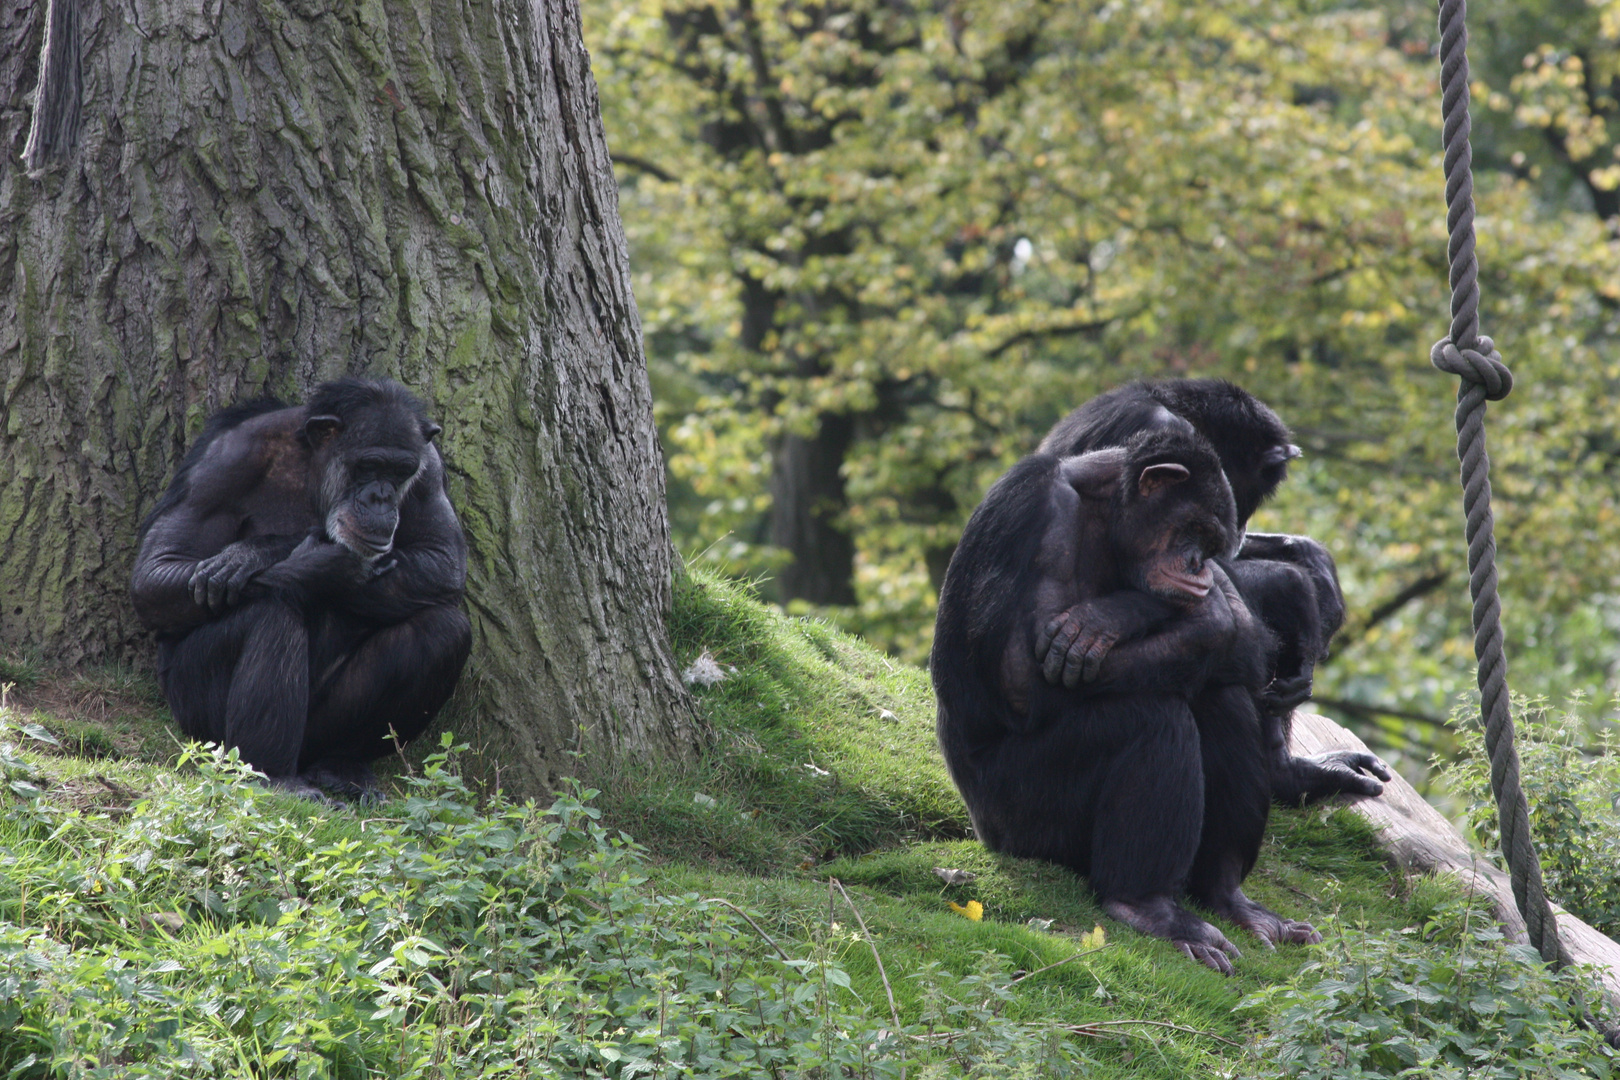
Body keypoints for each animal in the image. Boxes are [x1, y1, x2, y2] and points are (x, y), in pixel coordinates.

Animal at [132, 380, 469, 803]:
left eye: (399, 471)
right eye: (369, 465)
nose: (382, 496)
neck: (314, 470)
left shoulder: (428, 470)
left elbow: (443, 559)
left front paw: (266, 553)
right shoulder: (223, 463)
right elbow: (157, 569)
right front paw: (309, 564)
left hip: (320, 729)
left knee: (442, 629)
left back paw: (341, 764)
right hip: (196, 715)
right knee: (272, 612)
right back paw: (275, 774)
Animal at [939, 427, 1315, 971]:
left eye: (1212, 543)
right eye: (1194, 529)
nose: (1198, 564)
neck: (1107, 514)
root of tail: (982, 830)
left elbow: (1239, 624)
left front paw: (1119, 612)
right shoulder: (1036, 510)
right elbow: (1022, 676)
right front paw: (1140, 610)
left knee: (1219, 695)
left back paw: (1229, 897)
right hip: (1022, 820)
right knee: (1152, 717)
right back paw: (1147, 907)